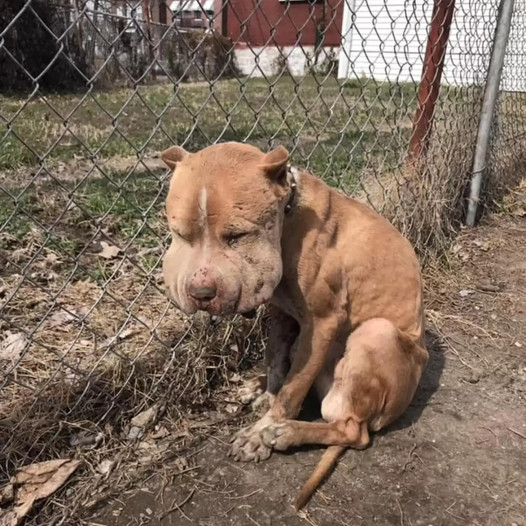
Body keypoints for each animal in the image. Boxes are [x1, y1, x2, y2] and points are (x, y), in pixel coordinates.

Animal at [163, 142, 432, 510]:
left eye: (237, 236)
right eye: (180, 235)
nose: (201, 293)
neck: (288, 218)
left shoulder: (320, 324)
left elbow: (292, 389)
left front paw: (260, 433)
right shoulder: (281, 313)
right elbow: (276, 363)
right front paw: (267, 392)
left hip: (377, 333)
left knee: (353, 431)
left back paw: (289, 432)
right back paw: (257, 387)